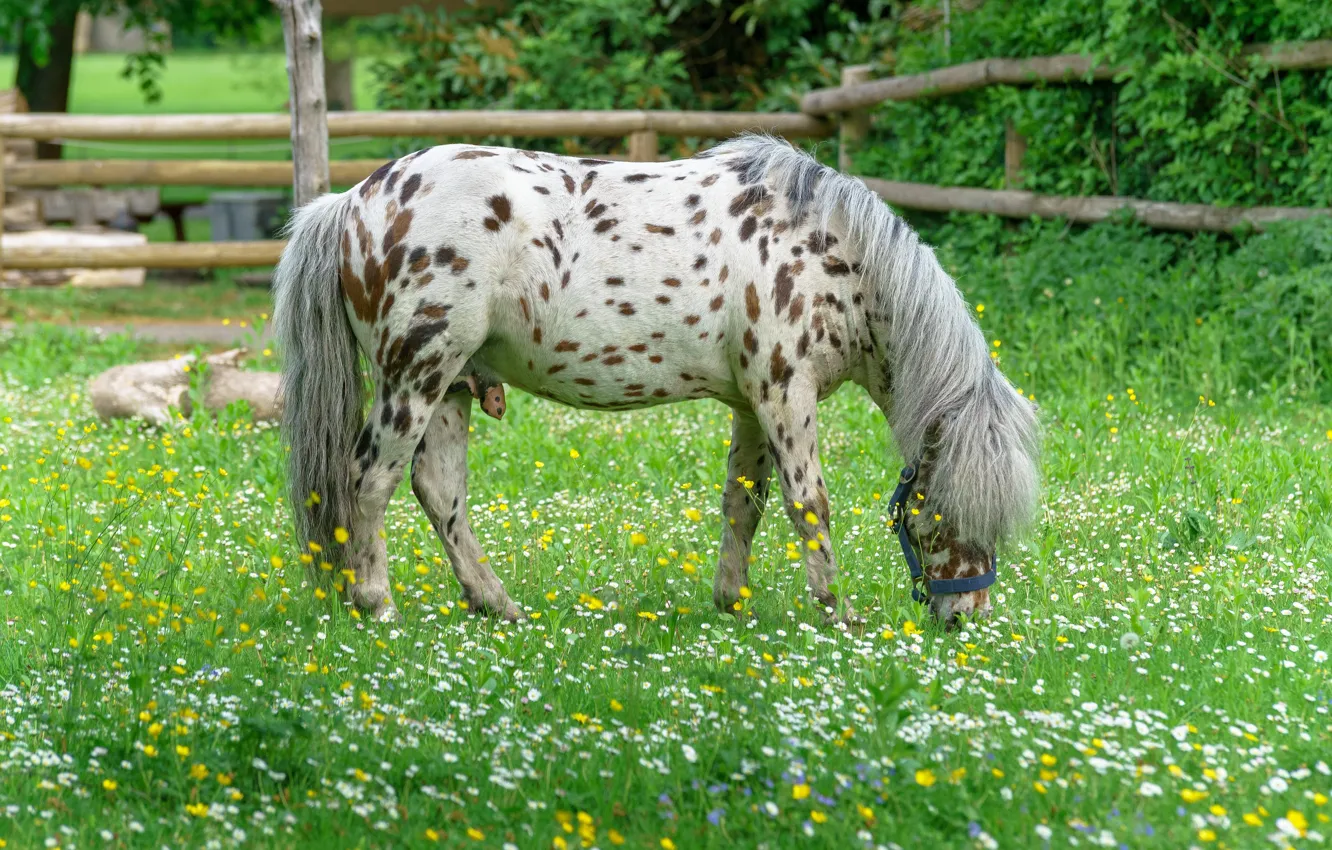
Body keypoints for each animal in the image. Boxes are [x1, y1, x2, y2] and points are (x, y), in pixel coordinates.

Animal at [272, 134, 1040, 628]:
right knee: (369, 481)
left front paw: (732, 602)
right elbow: (810, 505)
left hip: (452, 385)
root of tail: (352, 201)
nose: (966, 615)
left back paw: (497, 605)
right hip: (415, 377)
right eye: (952, 508)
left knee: (439, 491)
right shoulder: (785, 395)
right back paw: (377, 605)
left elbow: (745, 502)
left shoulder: (751, 405)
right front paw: (837, 613)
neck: (828, 253)